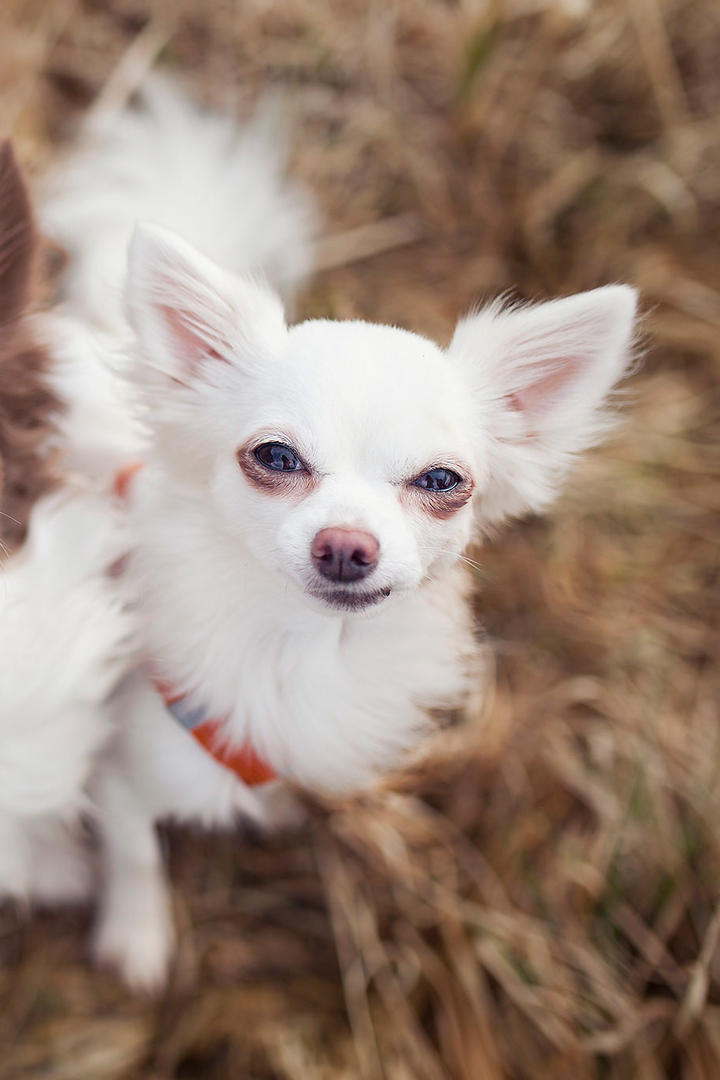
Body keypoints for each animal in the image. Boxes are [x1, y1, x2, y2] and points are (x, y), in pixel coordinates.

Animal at [23, 79, 634, 989]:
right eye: (275, 457)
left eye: (441, 483)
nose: (347, 545)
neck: (302, 646)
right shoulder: (123, 773)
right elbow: (136, 853)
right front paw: (138, 936)